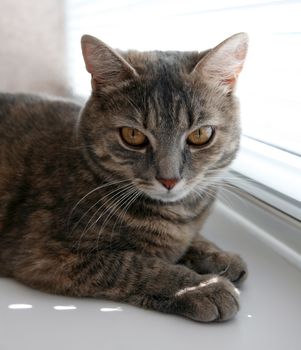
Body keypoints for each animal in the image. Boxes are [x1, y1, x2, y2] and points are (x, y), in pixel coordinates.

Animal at [0, 33, 247, 322]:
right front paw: (201, 287)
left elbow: (191, 241)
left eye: (200, 135)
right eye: (133, 136)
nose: (169, 179)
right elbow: (135, 265)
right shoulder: (48, 255)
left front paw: (219, 255)